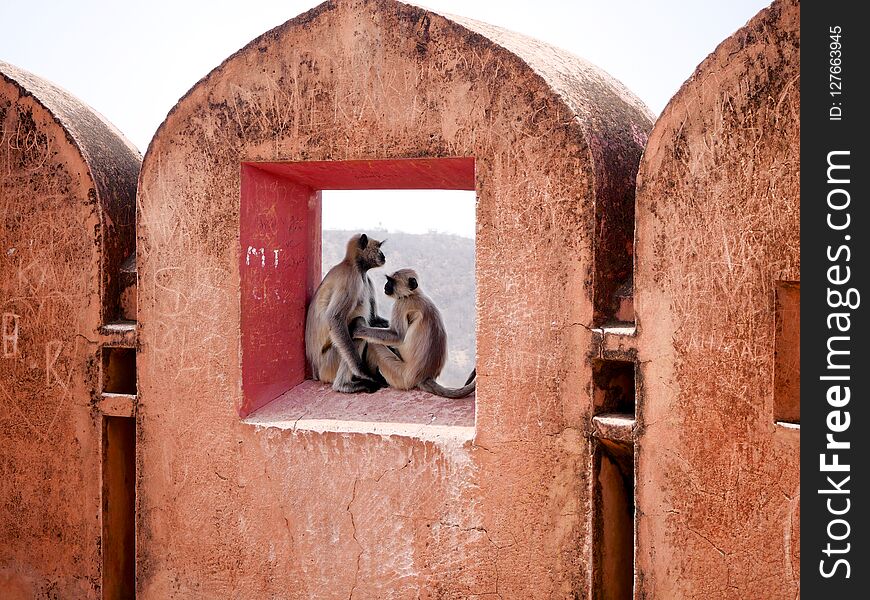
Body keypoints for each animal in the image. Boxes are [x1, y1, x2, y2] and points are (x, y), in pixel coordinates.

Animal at [306, 233, 388, 394]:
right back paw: (344, 385)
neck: (355, 266)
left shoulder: (367, 280)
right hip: (330, 362)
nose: (383, 255)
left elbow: (374, 319)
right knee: (358, 323)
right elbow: (334, 318)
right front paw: (364, 372)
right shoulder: (351, 279)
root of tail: (316, 372)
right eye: (378, 248)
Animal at [352, 268, 476, 398]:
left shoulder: (401, 304)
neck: (414, 294)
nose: (386, 286)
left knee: (373, 345)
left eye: (391, 281)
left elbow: (397, 336)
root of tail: (425, 377)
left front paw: (358, 329)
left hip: (400, 375)